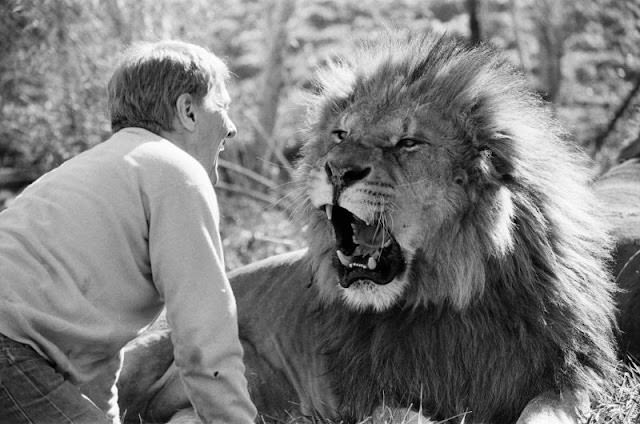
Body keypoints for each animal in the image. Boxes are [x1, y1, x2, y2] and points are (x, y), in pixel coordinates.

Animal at [112, 34, 616, 424]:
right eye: (340, 134)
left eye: (408, 142)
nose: (337, 171)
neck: (452, 299)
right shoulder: (365, 394)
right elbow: (408, 416)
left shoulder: (567, 373)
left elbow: (542, 413)